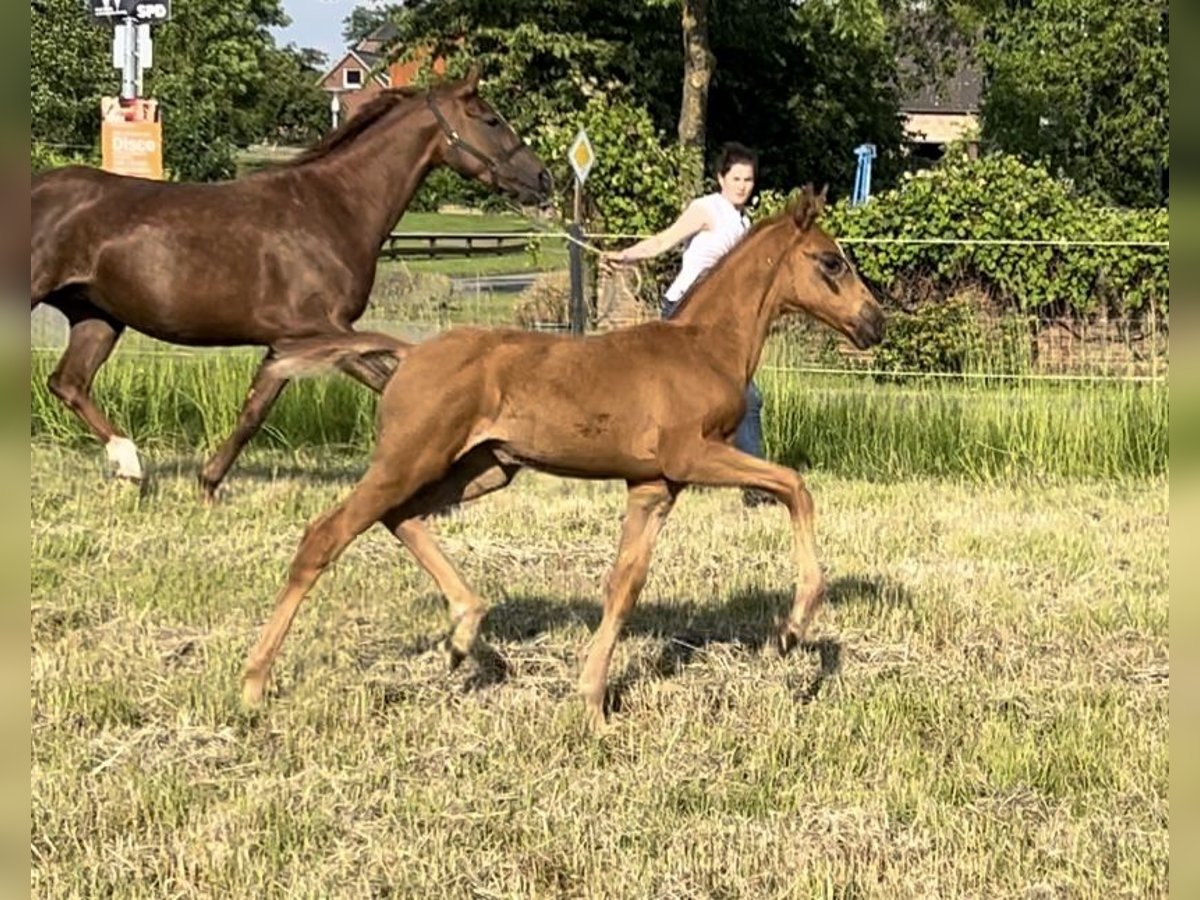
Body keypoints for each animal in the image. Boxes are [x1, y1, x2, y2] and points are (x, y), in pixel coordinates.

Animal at [29, 66, 552, 501]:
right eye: (490, 120)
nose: (542, 178)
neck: (333, 207)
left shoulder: (288, 341)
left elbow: (254, 411)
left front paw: (208, 484)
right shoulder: (320, 331)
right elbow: (386, 381)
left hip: (97, 317)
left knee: (68, 383)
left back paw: (130, 466)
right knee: (66, 382)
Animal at [238, 187, 888, 729]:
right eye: (831, 262)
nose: (875, 324)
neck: (704, 348)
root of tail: (408, 354)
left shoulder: (653, 485)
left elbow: (624, 585)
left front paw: (592, 704)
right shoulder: (691, 456)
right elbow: (794, 485)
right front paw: (794, 628)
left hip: (483, 467)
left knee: (401, 518)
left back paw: (464, 633)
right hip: (410, 458)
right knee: (327, 534)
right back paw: (253, 684)